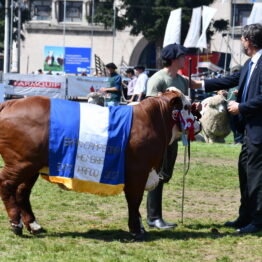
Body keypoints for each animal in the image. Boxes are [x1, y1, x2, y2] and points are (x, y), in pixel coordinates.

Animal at [0, 89, 200, 241]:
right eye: (187, 107)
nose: (198, 120)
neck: (152, 120)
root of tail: (11, 103)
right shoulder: (138, 172)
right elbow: (134, 201)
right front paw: (136, 229)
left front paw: (140, 227)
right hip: (21, 163)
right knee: (6, 184)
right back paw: (16, 224)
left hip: (32, 167)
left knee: (22, 192)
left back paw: (34, 225)